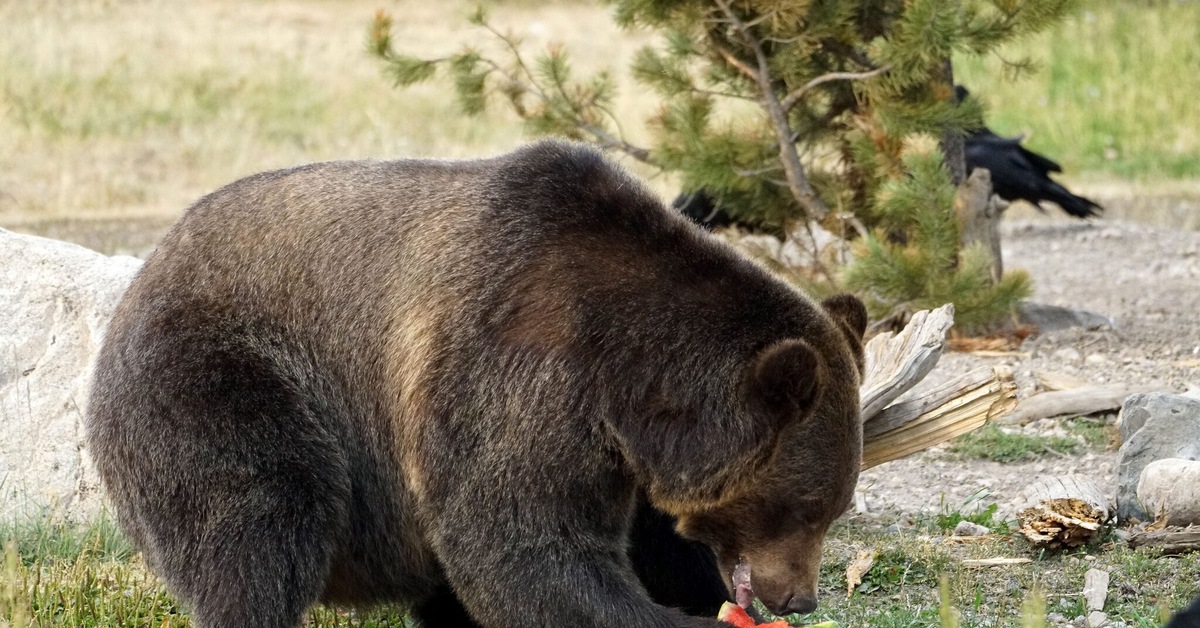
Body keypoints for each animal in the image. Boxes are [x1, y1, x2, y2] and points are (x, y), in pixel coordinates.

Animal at [88, 139, 868, 624]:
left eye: (833, 508)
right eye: (806, 507)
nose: (799, 598)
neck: (631, 384)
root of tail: (141, 274)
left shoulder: (623, 454)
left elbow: (646, 543)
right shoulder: (519, 366)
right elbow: (519, 543)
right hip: (224, 376)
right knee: (257, 518)